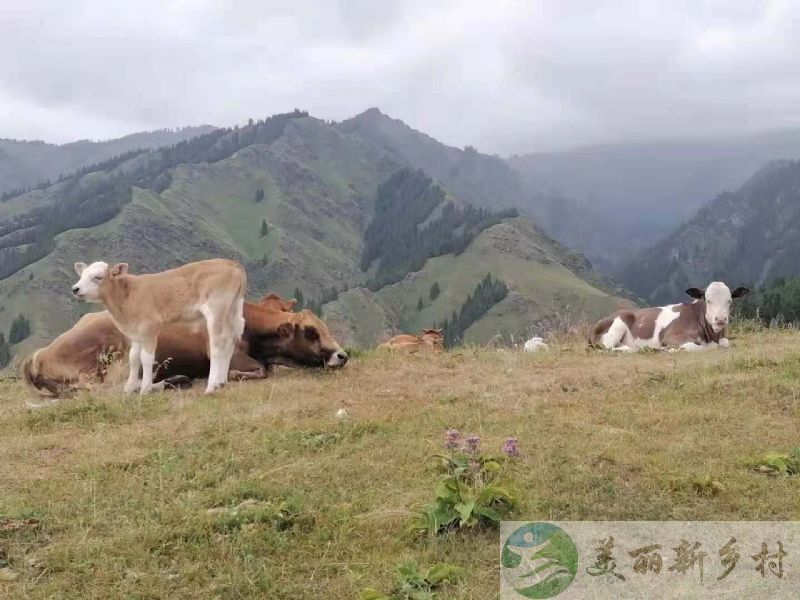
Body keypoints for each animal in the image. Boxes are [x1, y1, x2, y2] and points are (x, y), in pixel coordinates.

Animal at [588, 282, 752, 352]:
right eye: (708, 300)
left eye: (729, 300)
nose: (720, 319)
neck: (710, 336)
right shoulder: (672, 337)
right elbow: (696, 347)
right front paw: (670, 350)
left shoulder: (722, 338)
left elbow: (725, 343)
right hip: (618, 324)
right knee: (607, 348)